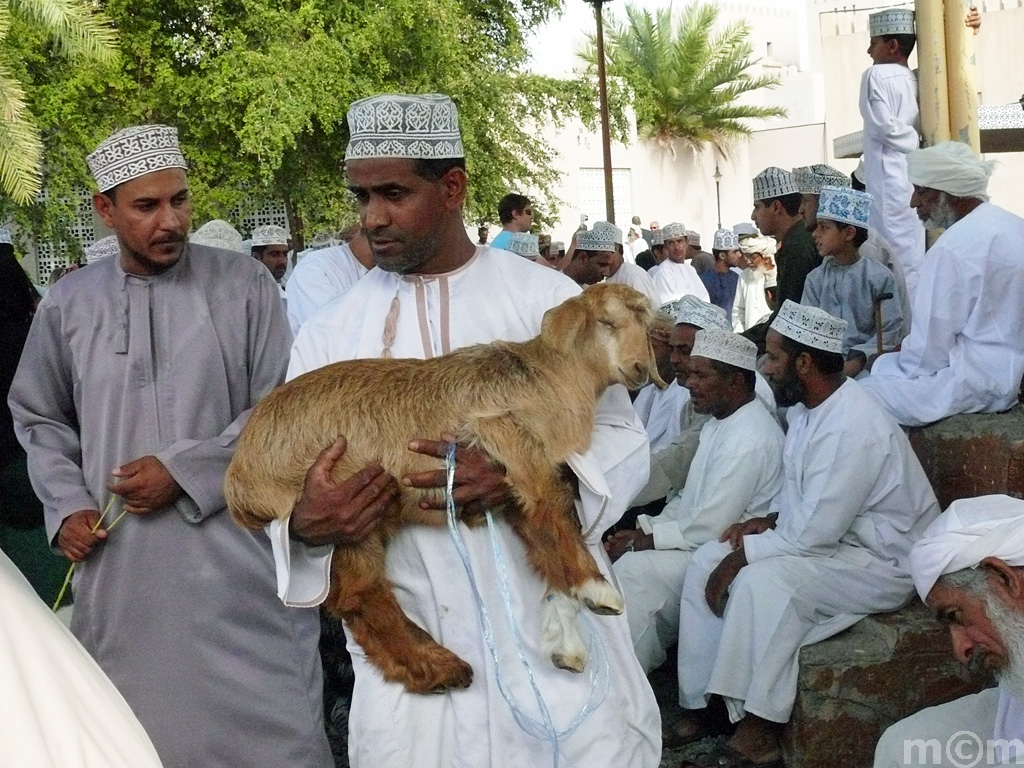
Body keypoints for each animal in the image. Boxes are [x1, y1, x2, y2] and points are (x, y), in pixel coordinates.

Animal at [224, 286, 663, 696]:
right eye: (606, 322)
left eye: (643, 326)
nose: (640, 368)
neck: (548, 376)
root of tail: (238, 477)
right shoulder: (505, 434)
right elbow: (553, 504)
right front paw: (596, 590)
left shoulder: (508, 483)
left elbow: (542, 538)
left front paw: (565, 634)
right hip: (340, 506)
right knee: (360, 593)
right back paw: (440, 666)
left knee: (360, 598)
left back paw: (434, 670)